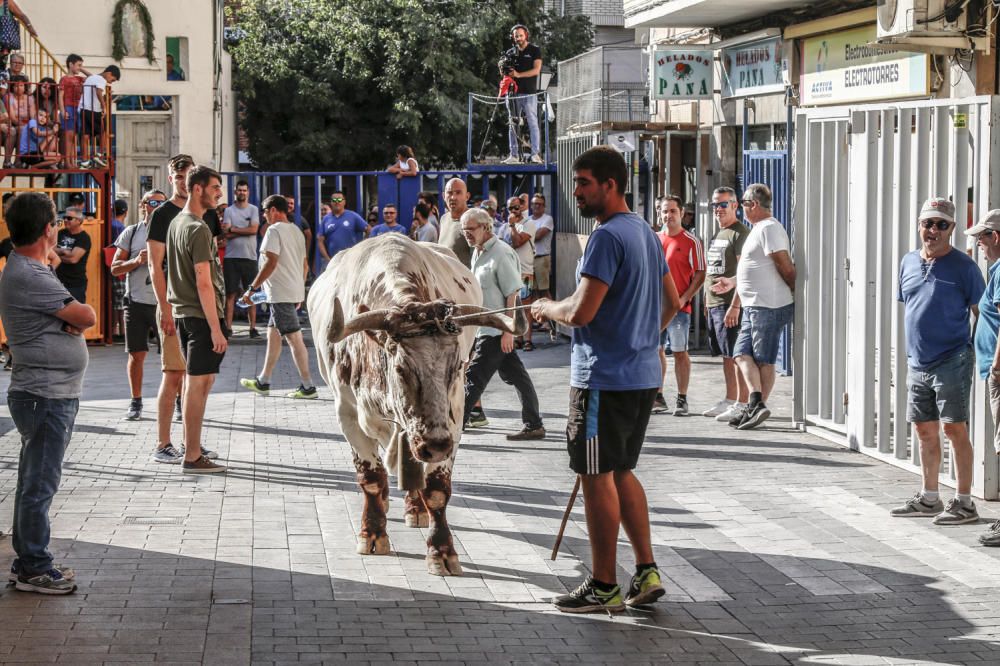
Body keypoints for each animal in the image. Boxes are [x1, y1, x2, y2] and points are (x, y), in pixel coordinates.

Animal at [304, 232, 524, 572]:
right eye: (401, 369)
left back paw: (415, 508)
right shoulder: (348, 415)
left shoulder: (452, 419)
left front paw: (442, 549)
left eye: (456, 367)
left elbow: (437, 489)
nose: (435, 444)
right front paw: (372, 533)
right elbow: (371, 478)